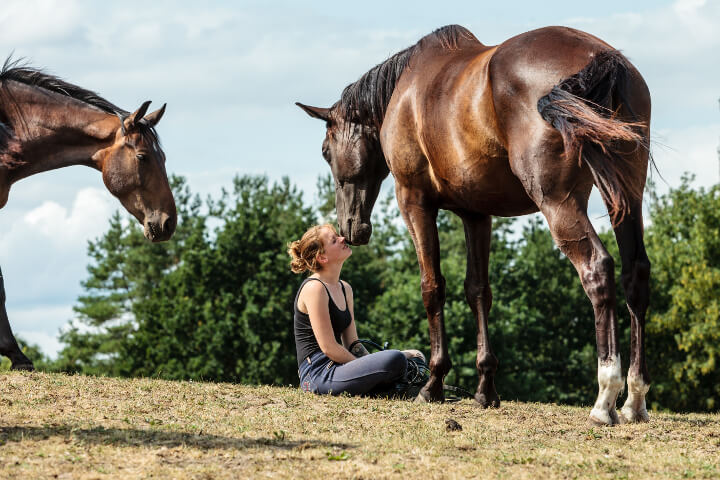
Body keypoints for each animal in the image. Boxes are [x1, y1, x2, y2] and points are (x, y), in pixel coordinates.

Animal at [298, 24, 652, 426]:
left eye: (326, 151)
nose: (349, 228)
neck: (406, 92)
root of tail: (600, 58)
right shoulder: (477, 214)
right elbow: (479, 291)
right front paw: (485, 389)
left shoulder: (415, 203)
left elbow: (433, 287)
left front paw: (433, 384)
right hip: (627, 197)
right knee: (635, 274)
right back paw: (634, 400)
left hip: (559, 202)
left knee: (597, 269)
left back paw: (605, 398)